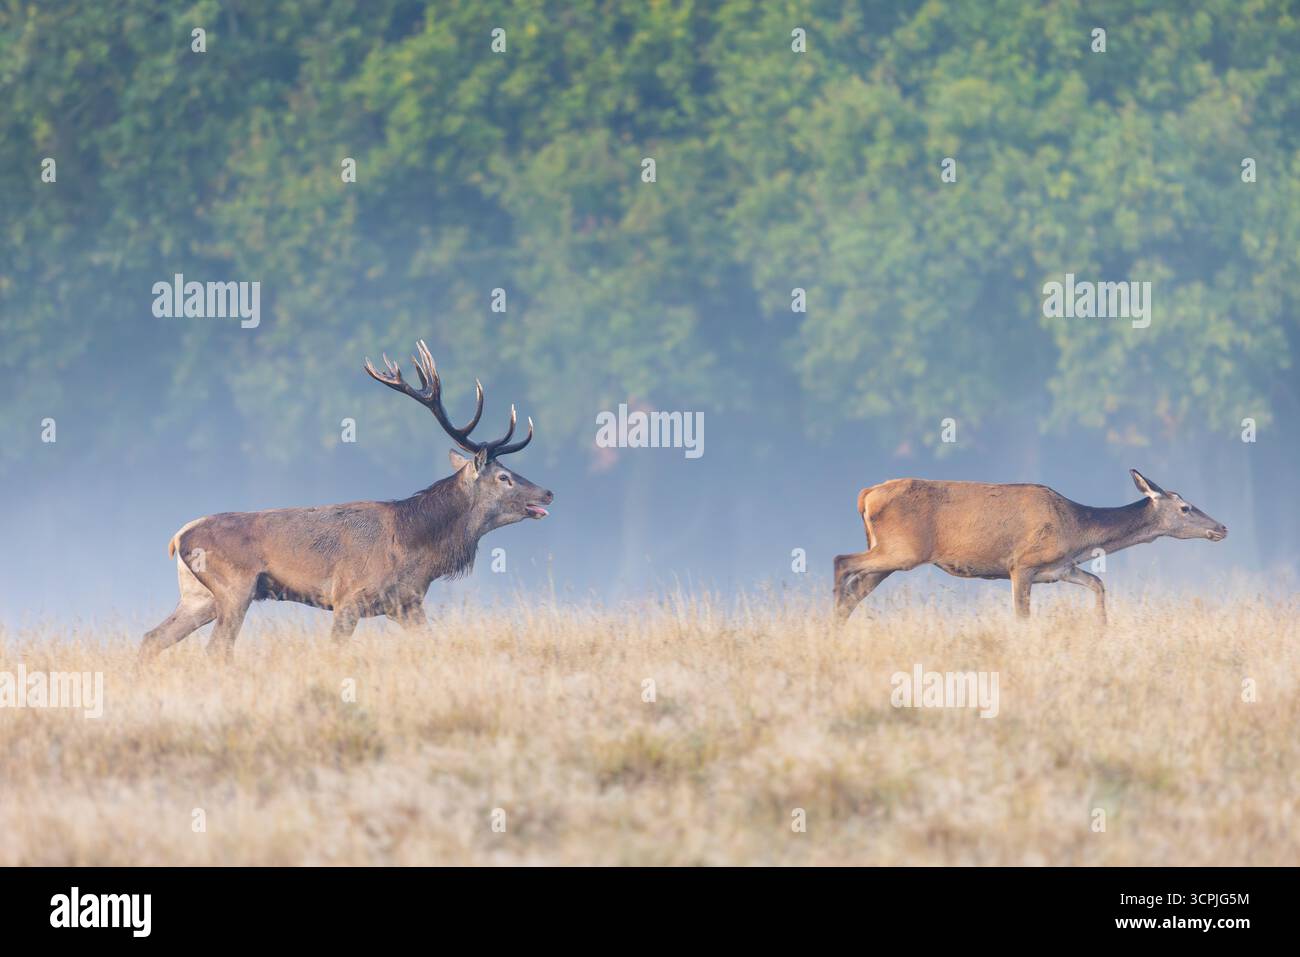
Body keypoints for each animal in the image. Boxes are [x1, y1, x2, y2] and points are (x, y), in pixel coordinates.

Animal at [139, 340, 553, 662]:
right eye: (504, 477)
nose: (548, 492)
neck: (416, 549)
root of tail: (179, 537)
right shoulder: (348, 598)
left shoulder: (406, 604)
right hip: (234, 587)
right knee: (217, 649)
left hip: (198, 596)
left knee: (152, 638)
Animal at [833, 469, 1227, 622]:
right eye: (1186, 507)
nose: (1221, 527)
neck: (1077, 531)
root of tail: (866, 494)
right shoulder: (1021, 564)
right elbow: (1022, 615)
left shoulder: (1060, 568)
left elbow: (1098, 583)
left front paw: (1103, 627)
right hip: (902, 550)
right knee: (841, 561)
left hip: (891, 557)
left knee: (855, 590)